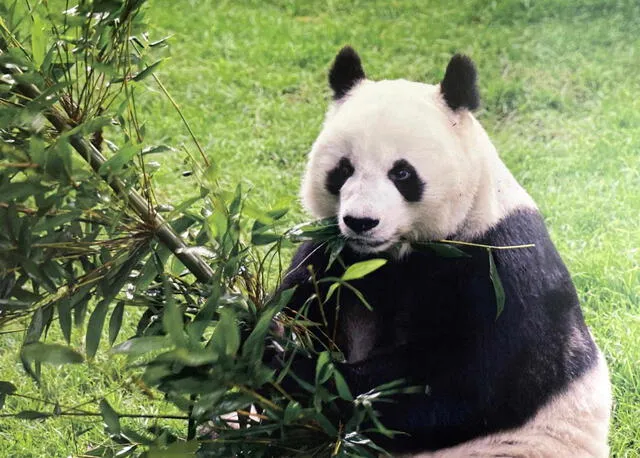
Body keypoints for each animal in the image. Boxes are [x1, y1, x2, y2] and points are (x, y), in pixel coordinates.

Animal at [278, 47, 612, 458]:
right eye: (342, 169)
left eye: (402, 173)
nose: (361, 221)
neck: (395, 253)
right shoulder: (335, 256)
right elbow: (301, 302)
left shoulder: (500, 266)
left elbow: (463, 387)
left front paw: (291, 363)